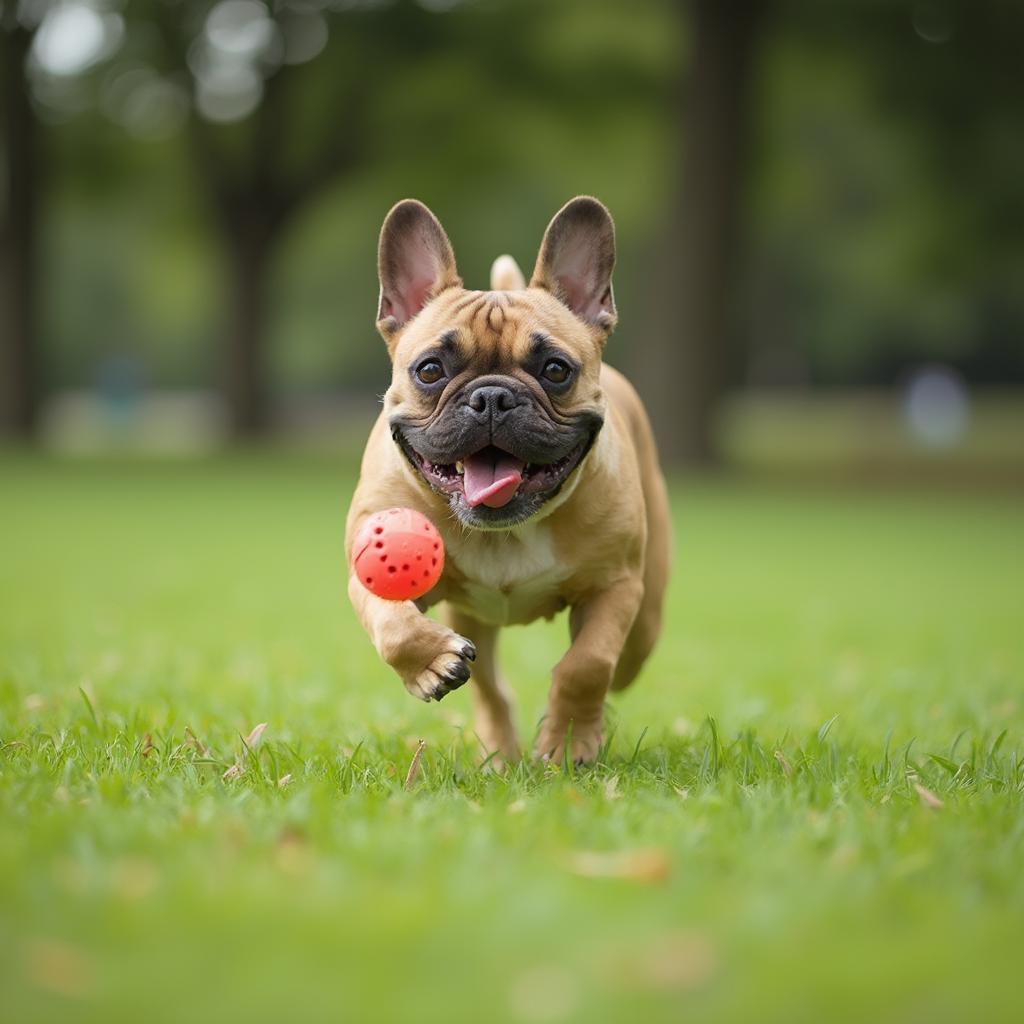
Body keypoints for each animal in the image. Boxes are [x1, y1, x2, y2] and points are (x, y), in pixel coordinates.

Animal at [348, 195, 675, 765]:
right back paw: (499, 752)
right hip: (470, 616)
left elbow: (588, 664)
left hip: (646, 613)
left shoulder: (614, 587)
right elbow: (392, 623)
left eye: (556, 370)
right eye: (430, 370)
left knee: (622, 662)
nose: (492, 396)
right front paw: (431, 662)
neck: (508, 532)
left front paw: (567, 746)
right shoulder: (365, 563)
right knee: (489, 686)